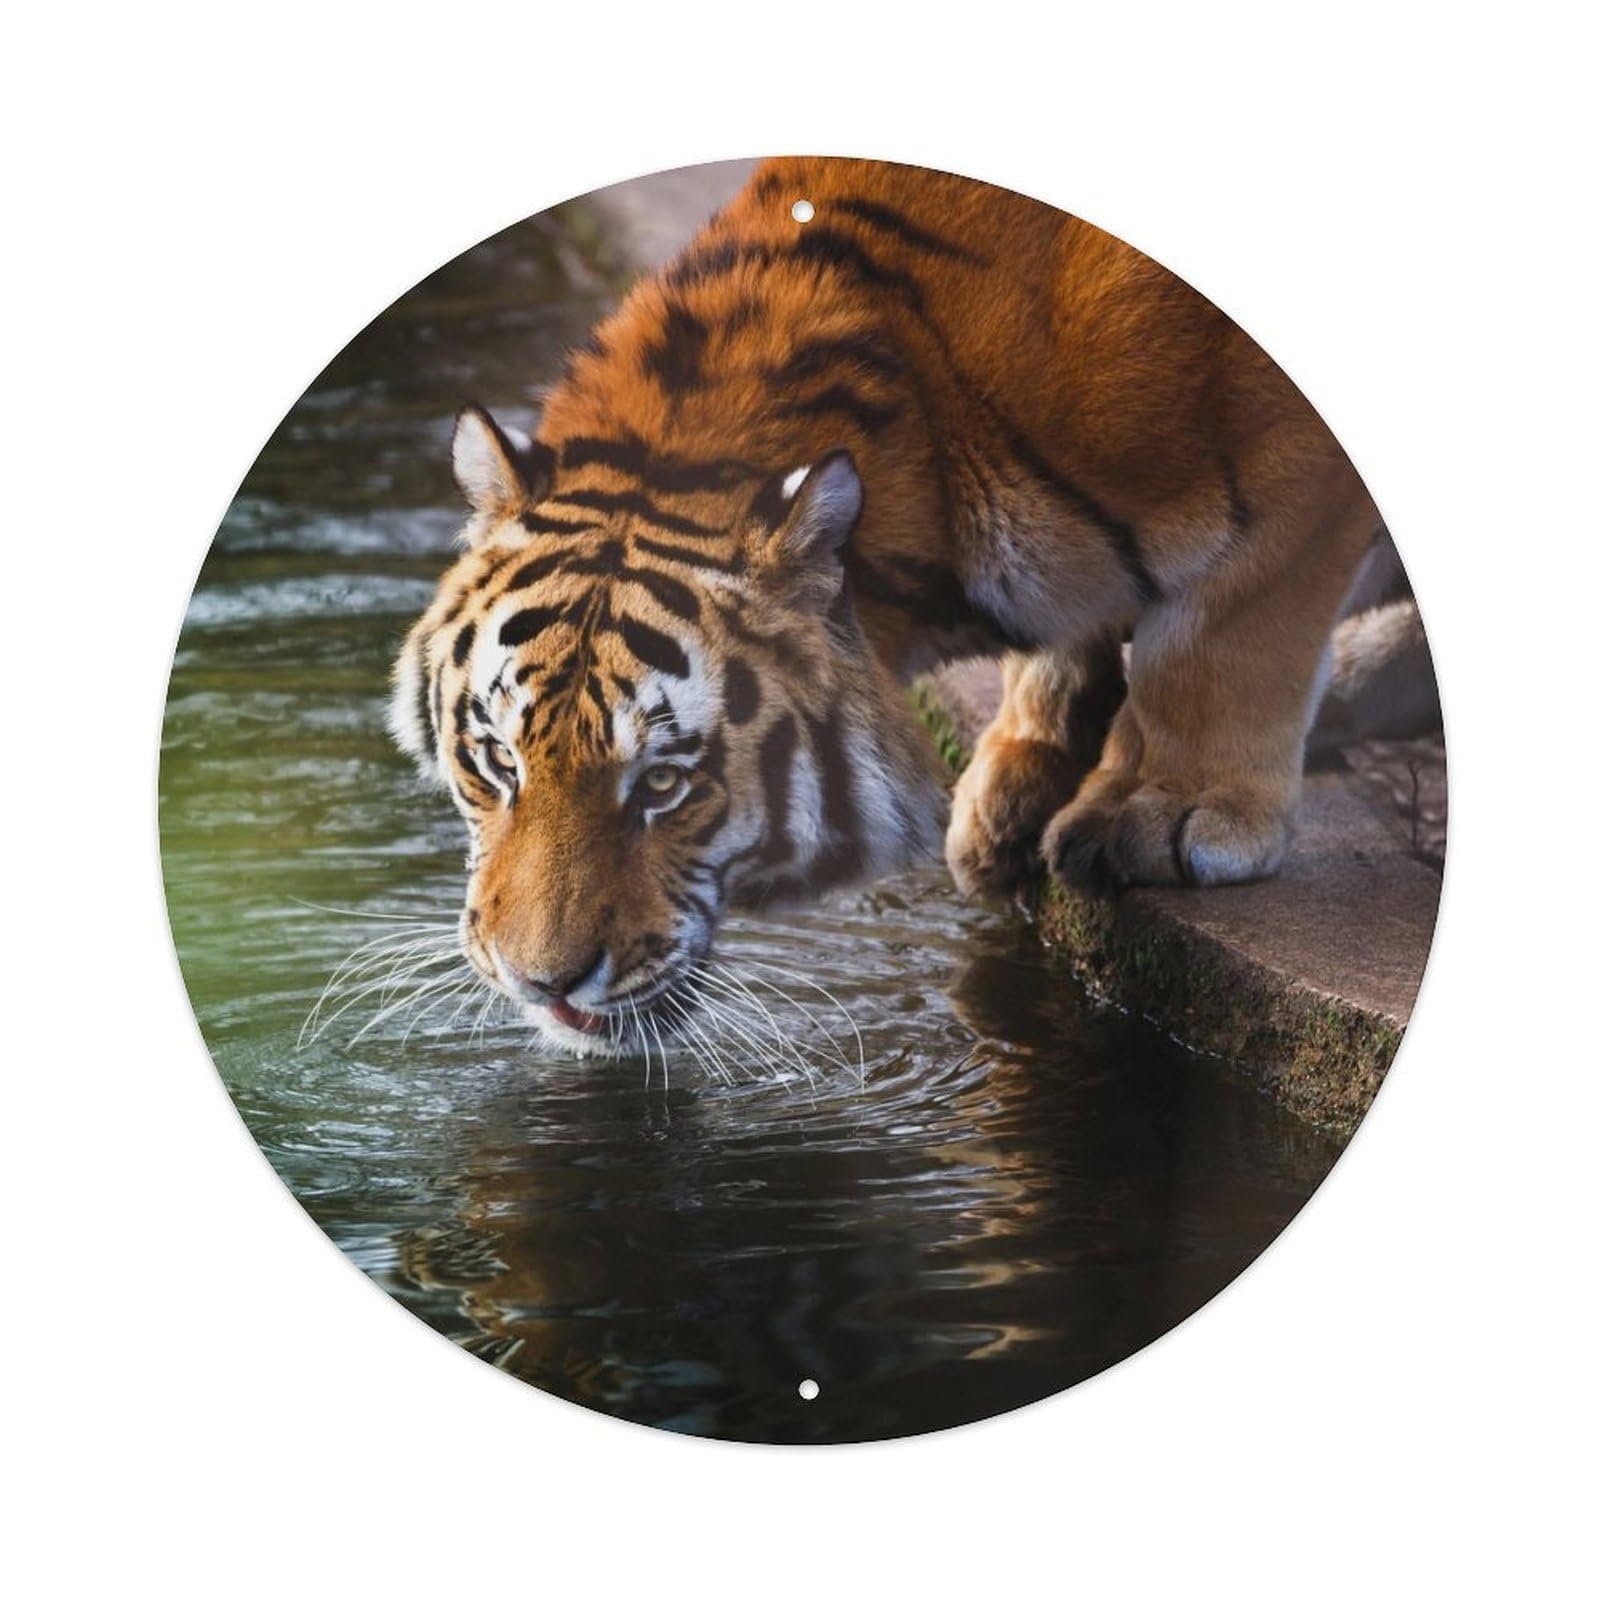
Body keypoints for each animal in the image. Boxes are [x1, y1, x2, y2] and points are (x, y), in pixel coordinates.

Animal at [390, 156, 1387, 1056]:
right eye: (497, 762)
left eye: (667, 785)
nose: (540, 984)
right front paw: (1017, 781)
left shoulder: (1291, 472)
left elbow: (1218, 637)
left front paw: (1161, 811)